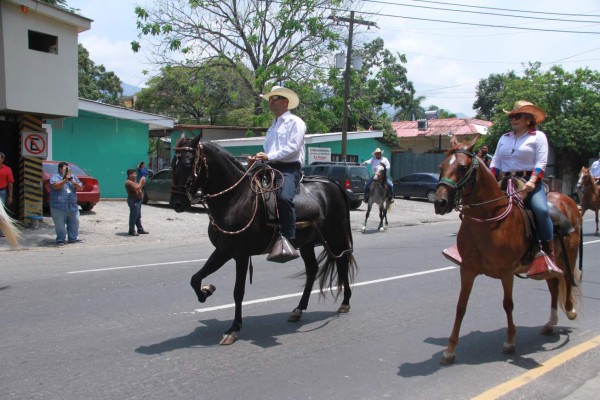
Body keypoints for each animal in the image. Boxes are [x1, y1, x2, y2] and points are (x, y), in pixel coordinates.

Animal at [432, 138, 580, 366]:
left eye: (463, 167)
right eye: (441, 167)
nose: (440, 202)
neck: (488, 220)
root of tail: (568, 200)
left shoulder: (506, 272)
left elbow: (508, 304)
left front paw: (510, 342)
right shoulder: (467, 270)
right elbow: (460, 307)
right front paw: (449, 351)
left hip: (569, 256)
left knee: (568, 279)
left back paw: (570, 310)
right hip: (547, 267)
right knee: (554, 286)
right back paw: (550, 323)